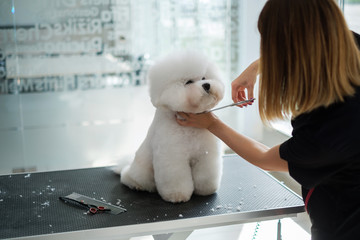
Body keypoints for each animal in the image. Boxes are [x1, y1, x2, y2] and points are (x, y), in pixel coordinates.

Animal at [120, 51, 222, 202]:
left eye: (204, 77)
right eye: (189, 82)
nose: (207, 85)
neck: (190, 129)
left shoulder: (205, 155)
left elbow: (206, 175)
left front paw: (206, 190)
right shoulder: (173, 157)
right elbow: (176, 179)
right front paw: (177, 195)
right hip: (141, 172)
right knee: (128, 177)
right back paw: (135, 184)